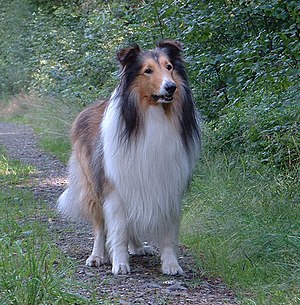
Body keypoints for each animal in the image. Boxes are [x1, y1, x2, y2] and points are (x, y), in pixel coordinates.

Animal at [57, 39, 200, 274]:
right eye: (147, 70)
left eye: (169, 67)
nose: (171, 87)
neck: (153, 116)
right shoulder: (115, 188)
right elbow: (118, 230)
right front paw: (120, 263)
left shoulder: (169, 186)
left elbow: (168, 234)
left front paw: (171, 264)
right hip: (94, 185)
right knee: (101, 227)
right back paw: (97, 256)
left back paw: (139, 247)